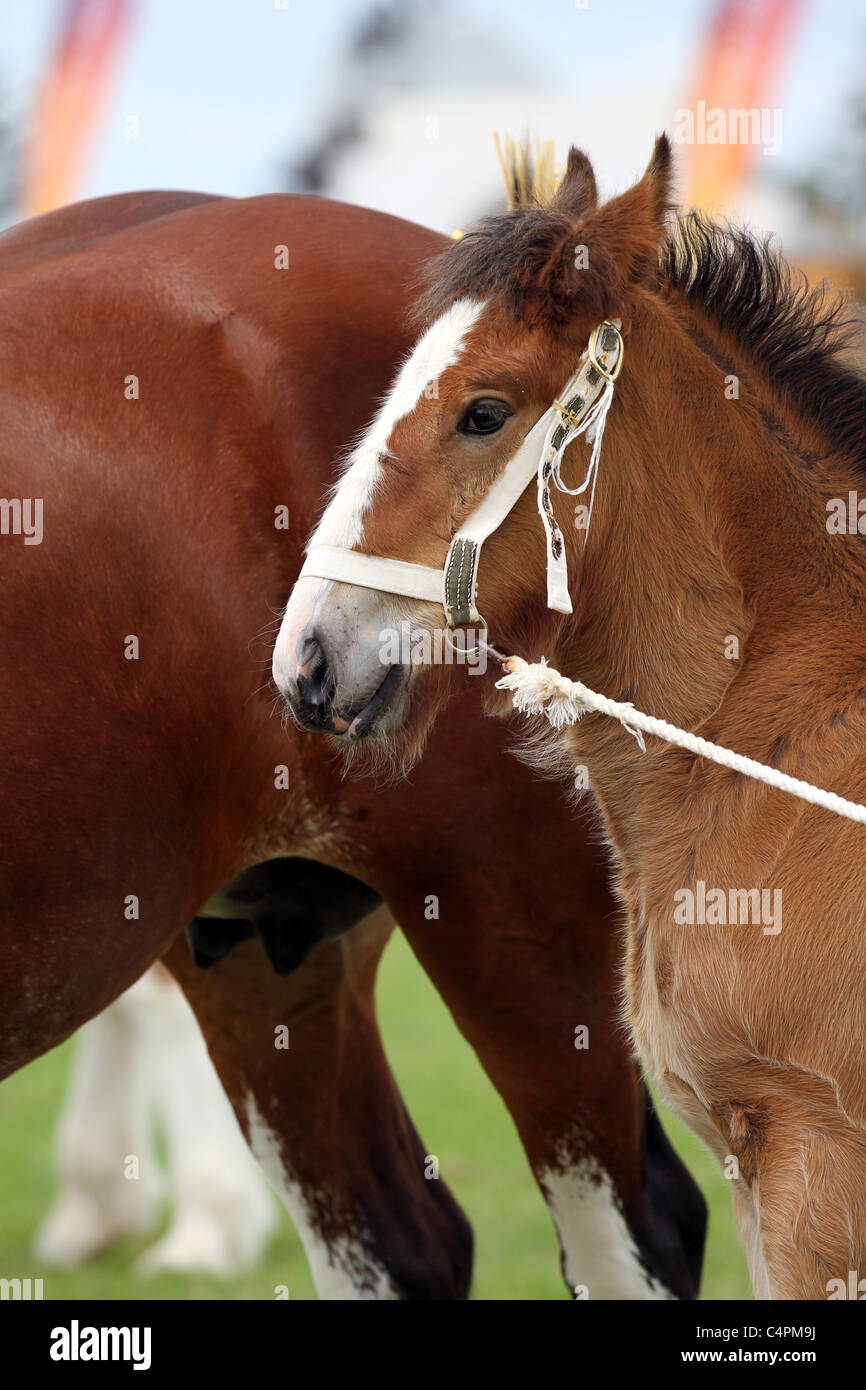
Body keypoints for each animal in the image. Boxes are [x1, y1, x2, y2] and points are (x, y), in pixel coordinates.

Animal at [0, 179, 706, 1295]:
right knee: (399, 1240)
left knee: (638, 1233)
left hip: (522, 921)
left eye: (481, 416)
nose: (310, 666)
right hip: (265, 940)